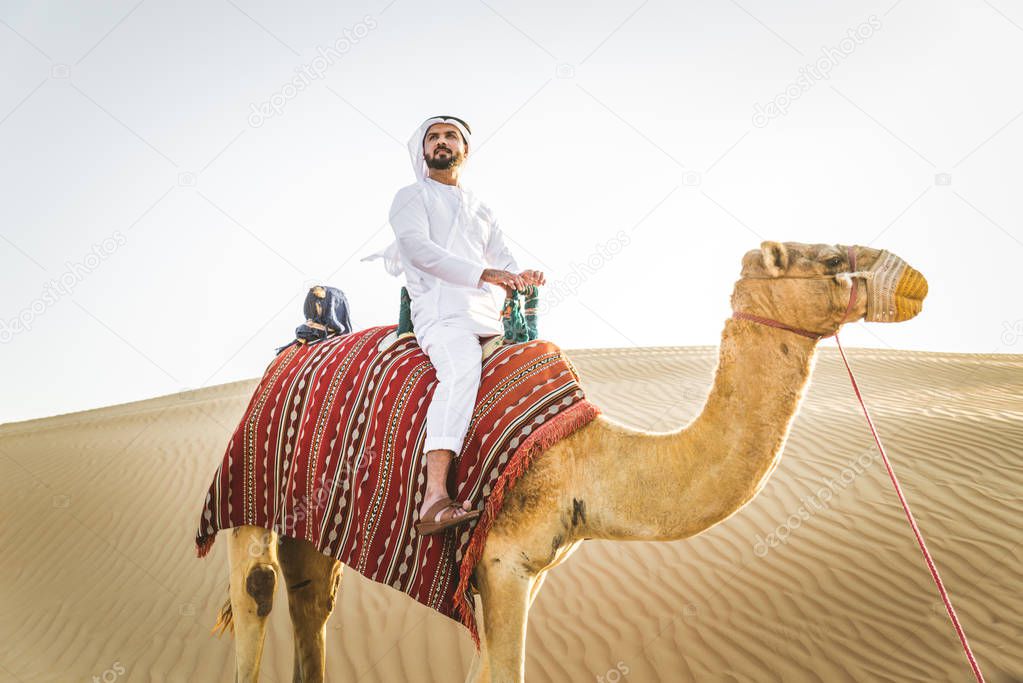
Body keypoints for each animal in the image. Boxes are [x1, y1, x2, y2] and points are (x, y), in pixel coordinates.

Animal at [213, 241, 928, 683]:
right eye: (831, 258)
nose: (917, 282)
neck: (588, 459)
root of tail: (296, 347)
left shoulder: (523, 572)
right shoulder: (501, 564)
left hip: (314, 519)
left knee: (313, 595)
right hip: (249, 486)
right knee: (259, 588)